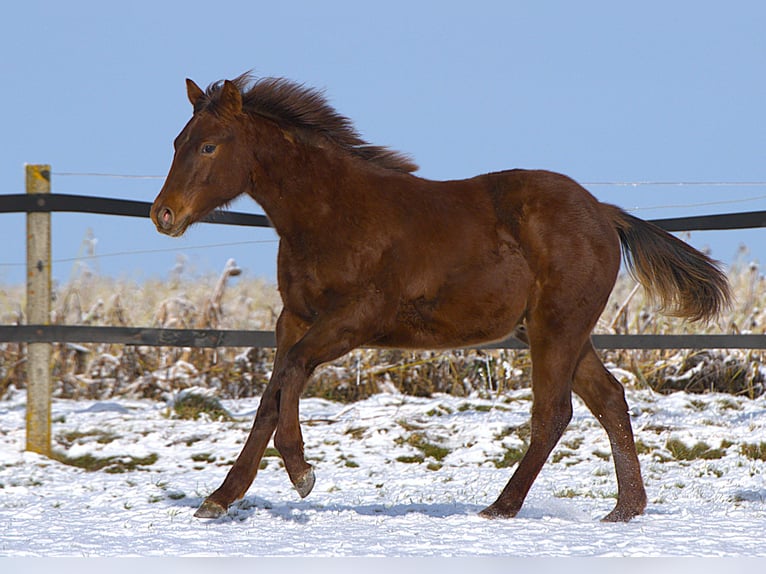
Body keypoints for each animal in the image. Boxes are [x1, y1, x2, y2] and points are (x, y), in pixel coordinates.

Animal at [152, 74, 732, 524]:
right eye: (177, 141)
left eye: (209, 146)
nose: (163, 214)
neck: (331, 213)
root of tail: (604, 213)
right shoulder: (294, 318)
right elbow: (270, 399)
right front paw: (220, 498)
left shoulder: (353, 319)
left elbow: (292, 373)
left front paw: (300, 472)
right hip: (561, 330)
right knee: (608, 399)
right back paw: (624, 510)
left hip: (556, 327)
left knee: (554, 411)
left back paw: (502, 507)